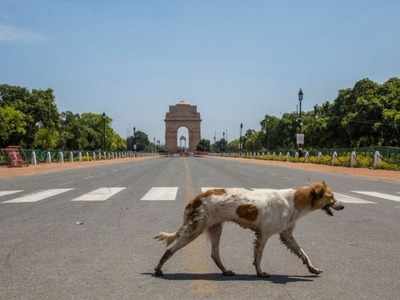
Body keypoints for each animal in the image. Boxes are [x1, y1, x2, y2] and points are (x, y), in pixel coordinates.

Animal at [153, 180, 344, 276]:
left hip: (215, 228)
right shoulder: (264, 235)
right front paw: (259, 272)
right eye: (331, 198)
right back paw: (158, 269)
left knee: (214, 254)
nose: (342, 206)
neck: (295, 202)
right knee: (170, 249)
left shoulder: (286, 235)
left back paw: (225, 271)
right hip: (195, 229)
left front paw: (312, 268)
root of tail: (197, 197)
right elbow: (258, 257)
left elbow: (303, 253)